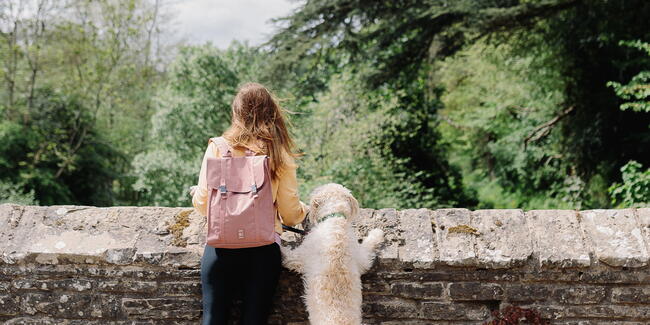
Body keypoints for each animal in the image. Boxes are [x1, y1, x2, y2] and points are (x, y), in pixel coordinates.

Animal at [280, 184, 382, 322]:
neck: (335, 220)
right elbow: (368, 248)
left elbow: (288, 255)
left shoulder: (300, 256)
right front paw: (379, 233)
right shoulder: (361, 258)